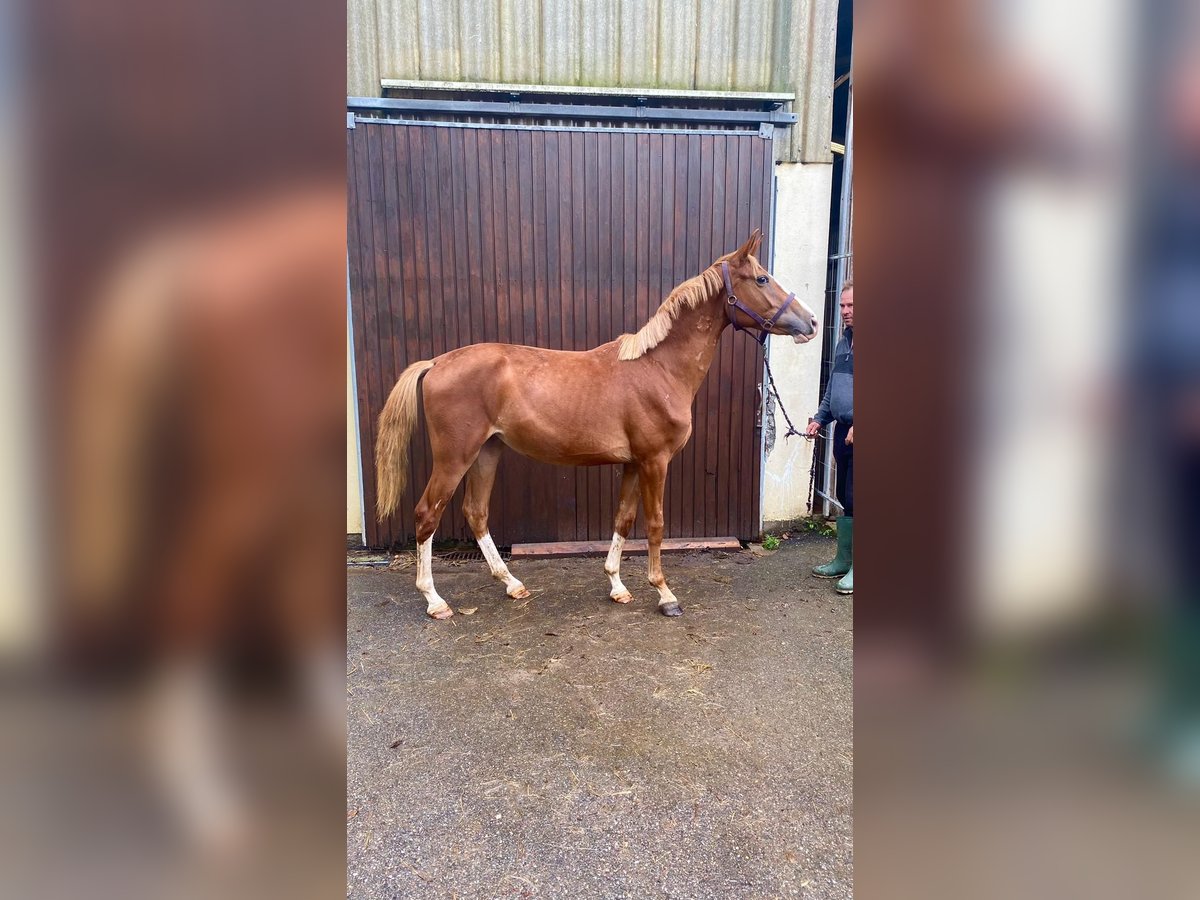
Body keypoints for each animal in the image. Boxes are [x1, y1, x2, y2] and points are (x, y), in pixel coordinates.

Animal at [376, 230, 816, 619]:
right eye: (762, 278)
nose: (810, 322)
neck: (658, 368)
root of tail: (436, 362)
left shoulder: (634, 464)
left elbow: (623, 519)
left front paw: (617, 586)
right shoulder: (655, 461)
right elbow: (655, 524)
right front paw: (665, 594)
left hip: (487, 451)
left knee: (476, 512)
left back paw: (512, 585)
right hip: (455, 457)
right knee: (427, 514)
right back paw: (435, 601)